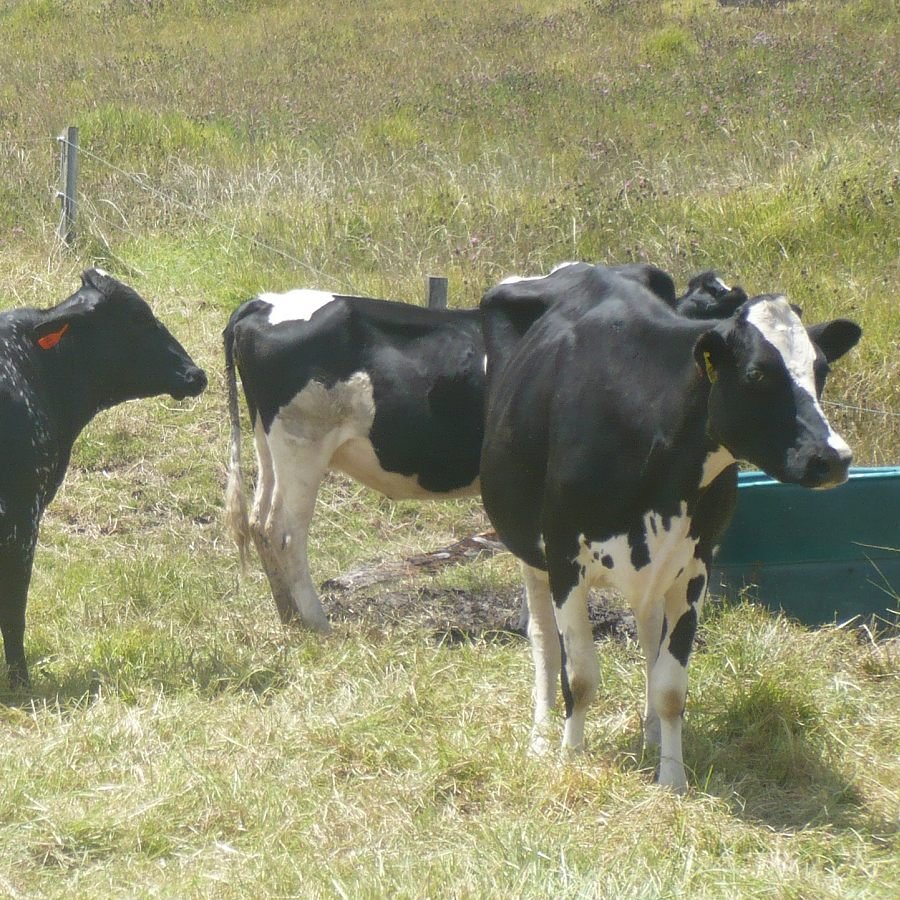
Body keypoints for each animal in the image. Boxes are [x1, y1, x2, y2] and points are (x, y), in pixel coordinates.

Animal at [222, 267, 747, 632]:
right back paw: (316, 621)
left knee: (260, 524)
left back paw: (289, 615)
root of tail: (263, 303)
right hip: (302, 446)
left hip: (271, 446)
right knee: (284, 532)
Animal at [478, 262, 861, 790]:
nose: (834, 458)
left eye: (822, 370)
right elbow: (580, 675)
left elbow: (670, 684)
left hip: (657, 566)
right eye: (756, 373)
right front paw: (570, 758)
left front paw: (672, 777)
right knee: (543, 643)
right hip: (528, 550)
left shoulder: (696, 563)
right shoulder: (564, 555)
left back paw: (650, 736)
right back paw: (540, 737)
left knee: (646, 638)